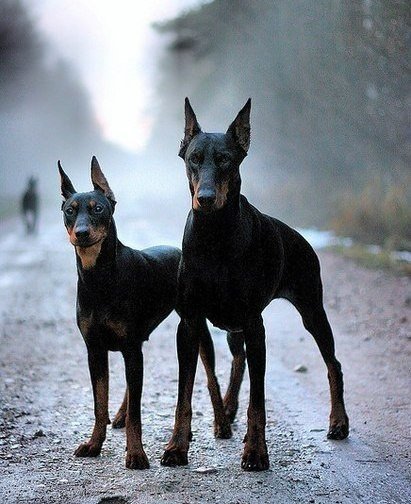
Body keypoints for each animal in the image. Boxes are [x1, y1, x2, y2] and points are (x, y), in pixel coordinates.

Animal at [163, 99, 350, 472]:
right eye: (194, 158)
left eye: (225, 160)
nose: (206, 198)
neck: (214, 237)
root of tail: (301, 238)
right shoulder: (189, 323)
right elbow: (184, 395)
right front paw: (177, 446)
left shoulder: (254, 323)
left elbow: (259, 401)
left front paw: (255, 452)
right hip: (231, 325)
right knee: (239, 359)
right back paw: (228, 408)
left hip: (311, 308)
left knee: (332, 364)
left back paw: (338, 422)